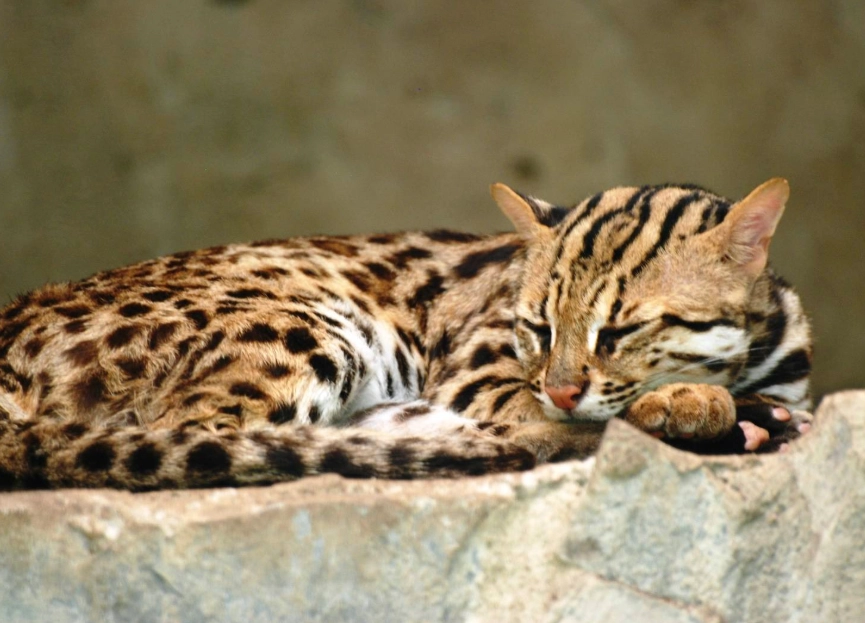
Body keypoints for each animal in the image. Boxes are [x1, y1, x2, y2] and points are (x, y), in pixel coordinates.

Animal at [0, 177, 812, 489]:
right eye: (536, 326)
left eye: (620, 329)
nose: (560, 388)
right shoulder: (480, 366)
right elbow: (541, 406)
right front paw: (683, 405)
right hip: (307, 326)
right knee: (207, 432)